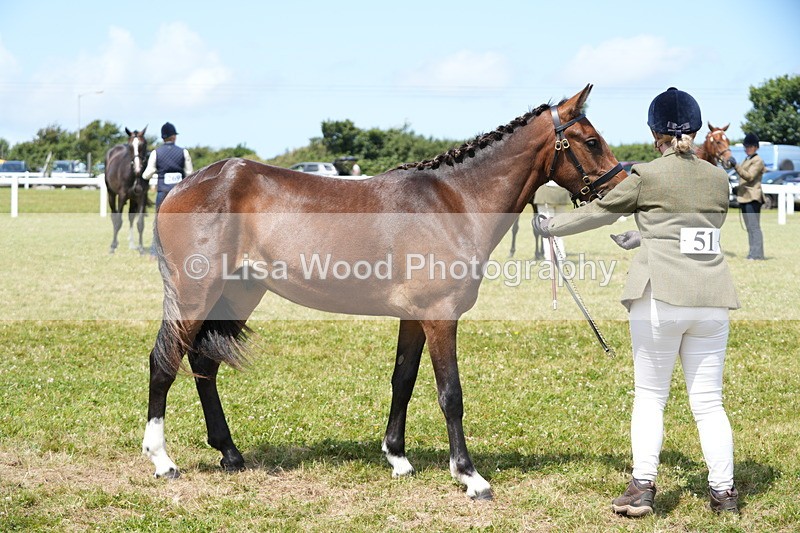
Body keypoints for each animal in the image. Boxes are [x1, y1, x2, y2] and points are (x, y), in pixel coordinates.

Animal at [142, 85, 627, 500]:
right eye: (590, 141)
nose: (619, 190)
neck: (455, 201)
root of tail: (185, 186)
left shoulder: (413, 316)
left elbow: (403, 380)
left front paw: (397, 457)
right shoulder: (440, 315)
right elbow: (451, 394)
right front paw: (469, 476)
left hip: (238, 294)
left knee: (204, 365)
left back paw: (229, 453)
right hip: (195, 294)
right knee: (163, 363)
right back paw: (162, 460)